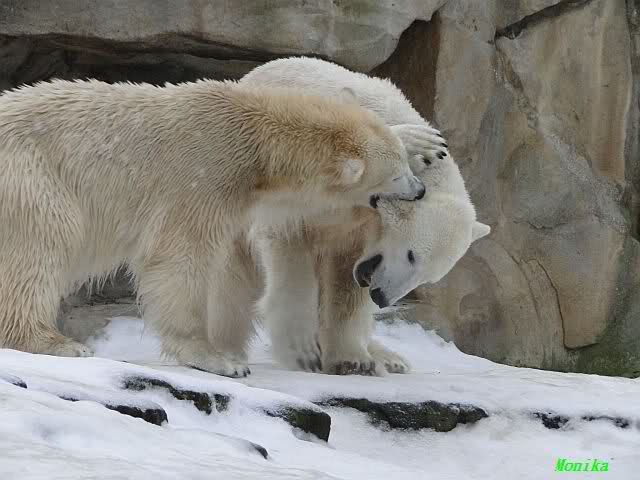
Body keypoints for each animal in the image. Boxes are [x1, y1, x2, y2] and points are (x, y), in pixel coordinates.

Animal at [0, 77, 427, 376]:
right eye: (394, 176)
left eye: (405, 164)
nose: (420, 190)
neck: (252, 138)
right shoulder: (203, 177)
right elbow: (181, 259)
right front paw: (217, 358)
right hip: (30, 177)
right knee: (42, 245)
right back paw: (55, 342)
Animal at [200, 57, 490, 376]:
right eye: (412, 255)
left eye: (428, 278)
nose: (381, 296)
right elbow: (290, 244)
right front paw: (301, 349)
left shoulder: (361, 234)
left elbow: (347, 283)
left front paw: (353, 359)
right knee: (231, 282)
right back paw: (226, 348)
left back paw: (388, 356)